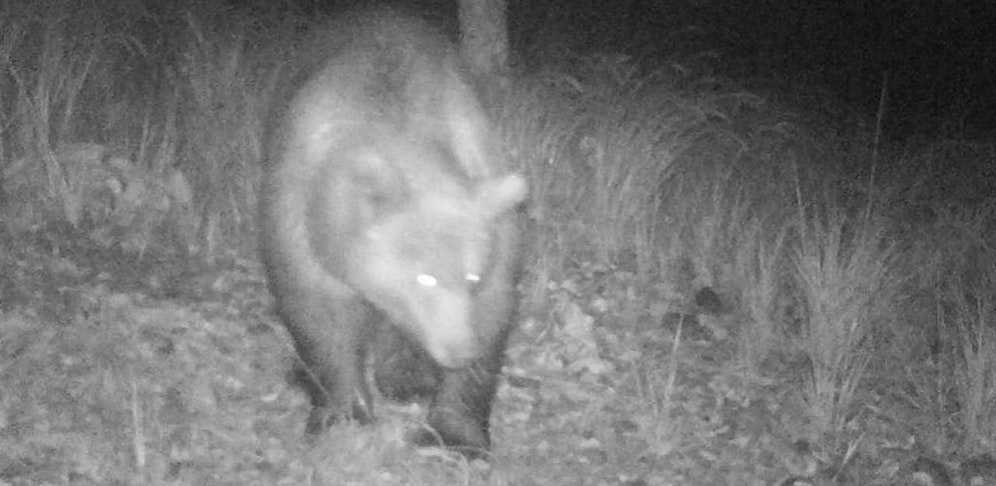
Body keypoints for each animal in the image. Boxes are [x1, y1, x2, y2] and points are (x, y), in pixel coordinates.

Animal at [258, 9, 527, 459]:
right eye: (424, 277)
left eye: (472, 275)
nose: (457, 349)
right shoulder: (300, 218)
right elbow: (319, 316)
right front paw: (342, 414)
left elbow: (492, 312)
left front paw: (455, 433)